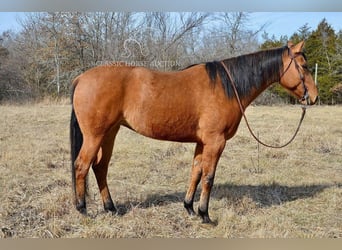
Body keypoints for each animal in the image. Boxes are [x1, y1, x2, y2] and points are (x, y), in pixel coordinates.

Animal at [69, 40, 318, 223]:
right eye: (304, 66)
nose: (314, 97)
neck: (227, 86)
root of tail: (81, 77)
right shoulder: (216, 142)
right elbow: (208, 176)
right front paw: (205, 214)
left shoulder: (202, 142)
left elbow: (195, 172)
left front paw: (189, 208)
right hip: (95, 136)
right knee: (82, 166)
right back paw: (82, 209)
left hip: (109, 134)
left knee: (100, 168)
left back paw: (110, 208)